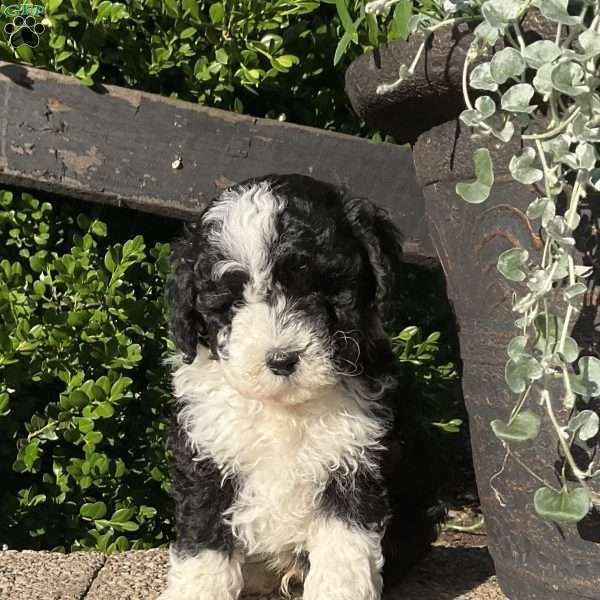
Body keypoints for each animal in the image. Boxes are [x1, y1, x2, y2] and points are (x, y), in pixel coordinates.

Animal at [162, 175, 438, 600]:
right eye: (230, 303)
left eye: (317, 288)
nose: (281, 360)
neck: (285, 407)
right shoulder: (206, 452)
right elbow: (203, 538)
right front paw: (197, 590)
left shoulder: (356, 458)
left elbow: (345, 548)